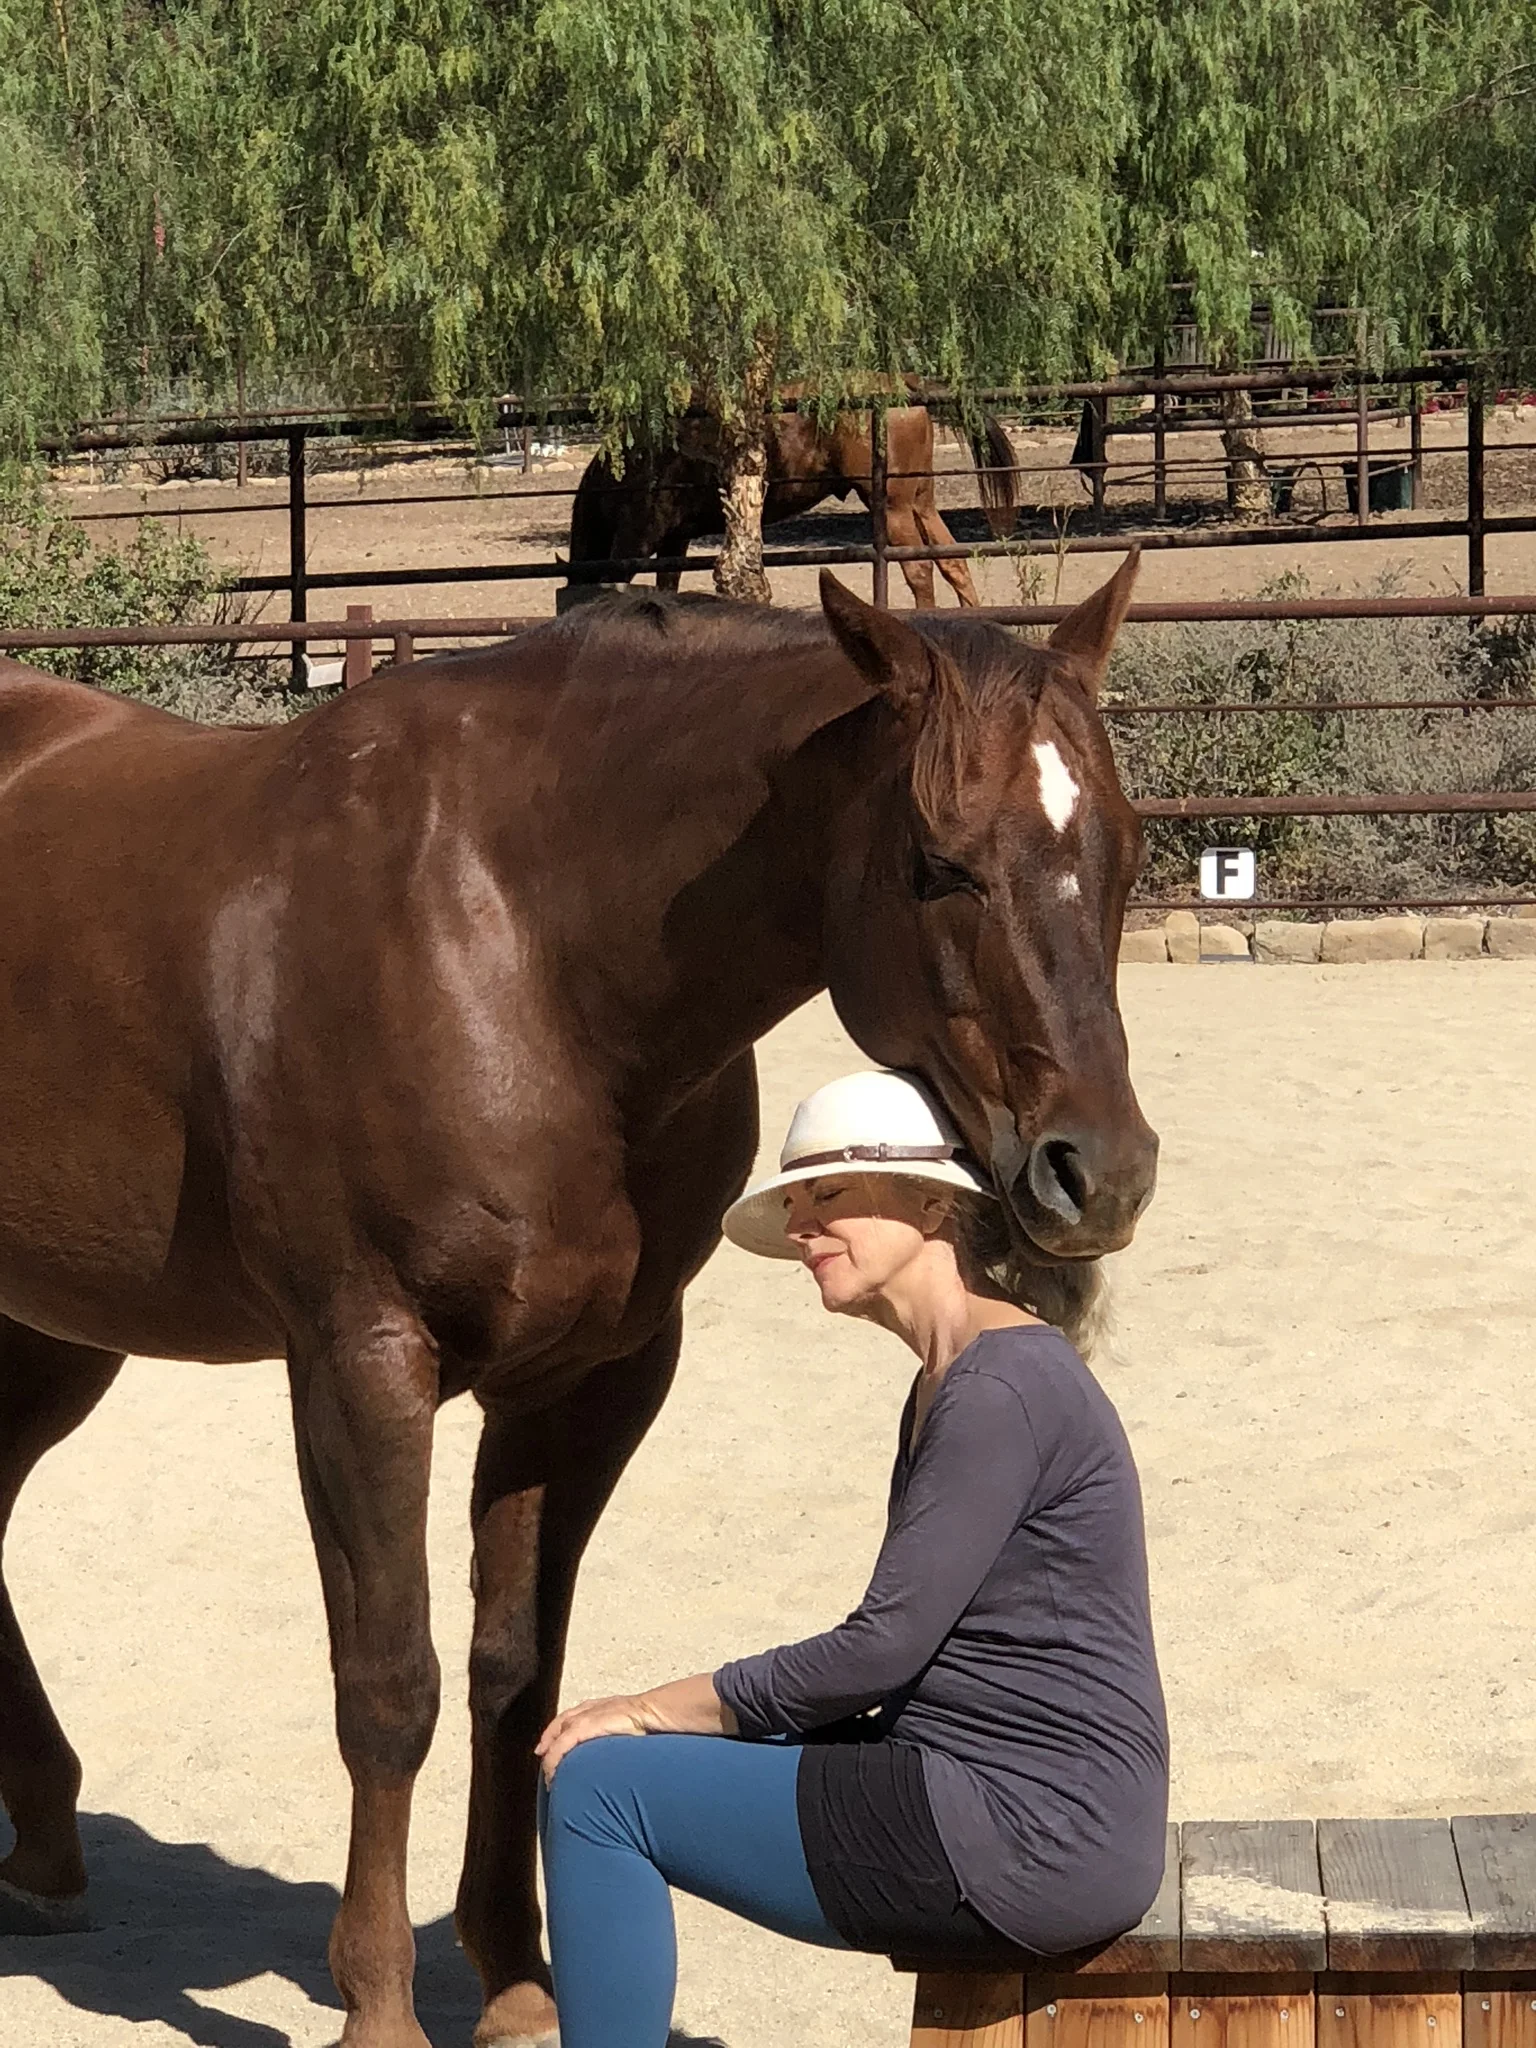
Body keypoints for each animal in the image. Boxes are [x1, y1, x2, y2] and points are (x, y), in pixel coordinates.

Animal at [0, 556, 1157, 2048]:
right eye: (937, 863)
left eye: (1129, 849)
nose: (1100, 1171)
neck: (514, 942)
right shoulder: (361, 1362)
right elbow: (392, 1686)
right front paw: (379, 2003)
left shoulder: (587, 1378)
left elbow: (516, 1675)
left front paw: (514, 1977)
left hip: (51, 1333)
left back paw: (43, 1841)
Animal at [560, 391, 1019, 611]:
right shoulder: (675, 540)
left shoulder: (638, 537)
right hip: (920, 503)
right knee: (953, 561)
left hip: (893, 508)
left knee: (919, 571)